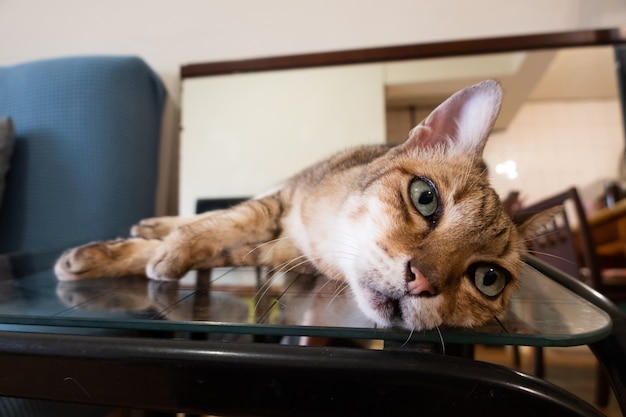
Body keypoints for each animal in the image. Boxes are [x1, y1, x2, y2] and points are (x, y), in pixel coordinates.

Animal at [54, 79, 536, 330]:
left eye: (488, 279)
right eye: (425, 197)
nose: (422, 282)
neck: (324, 237)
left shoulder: (274, 251)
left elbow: (212, 241)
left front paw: (130, 256)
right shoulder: (280, 202)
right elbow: (216, 222)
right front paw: (138, 253)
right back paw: (155, 226)